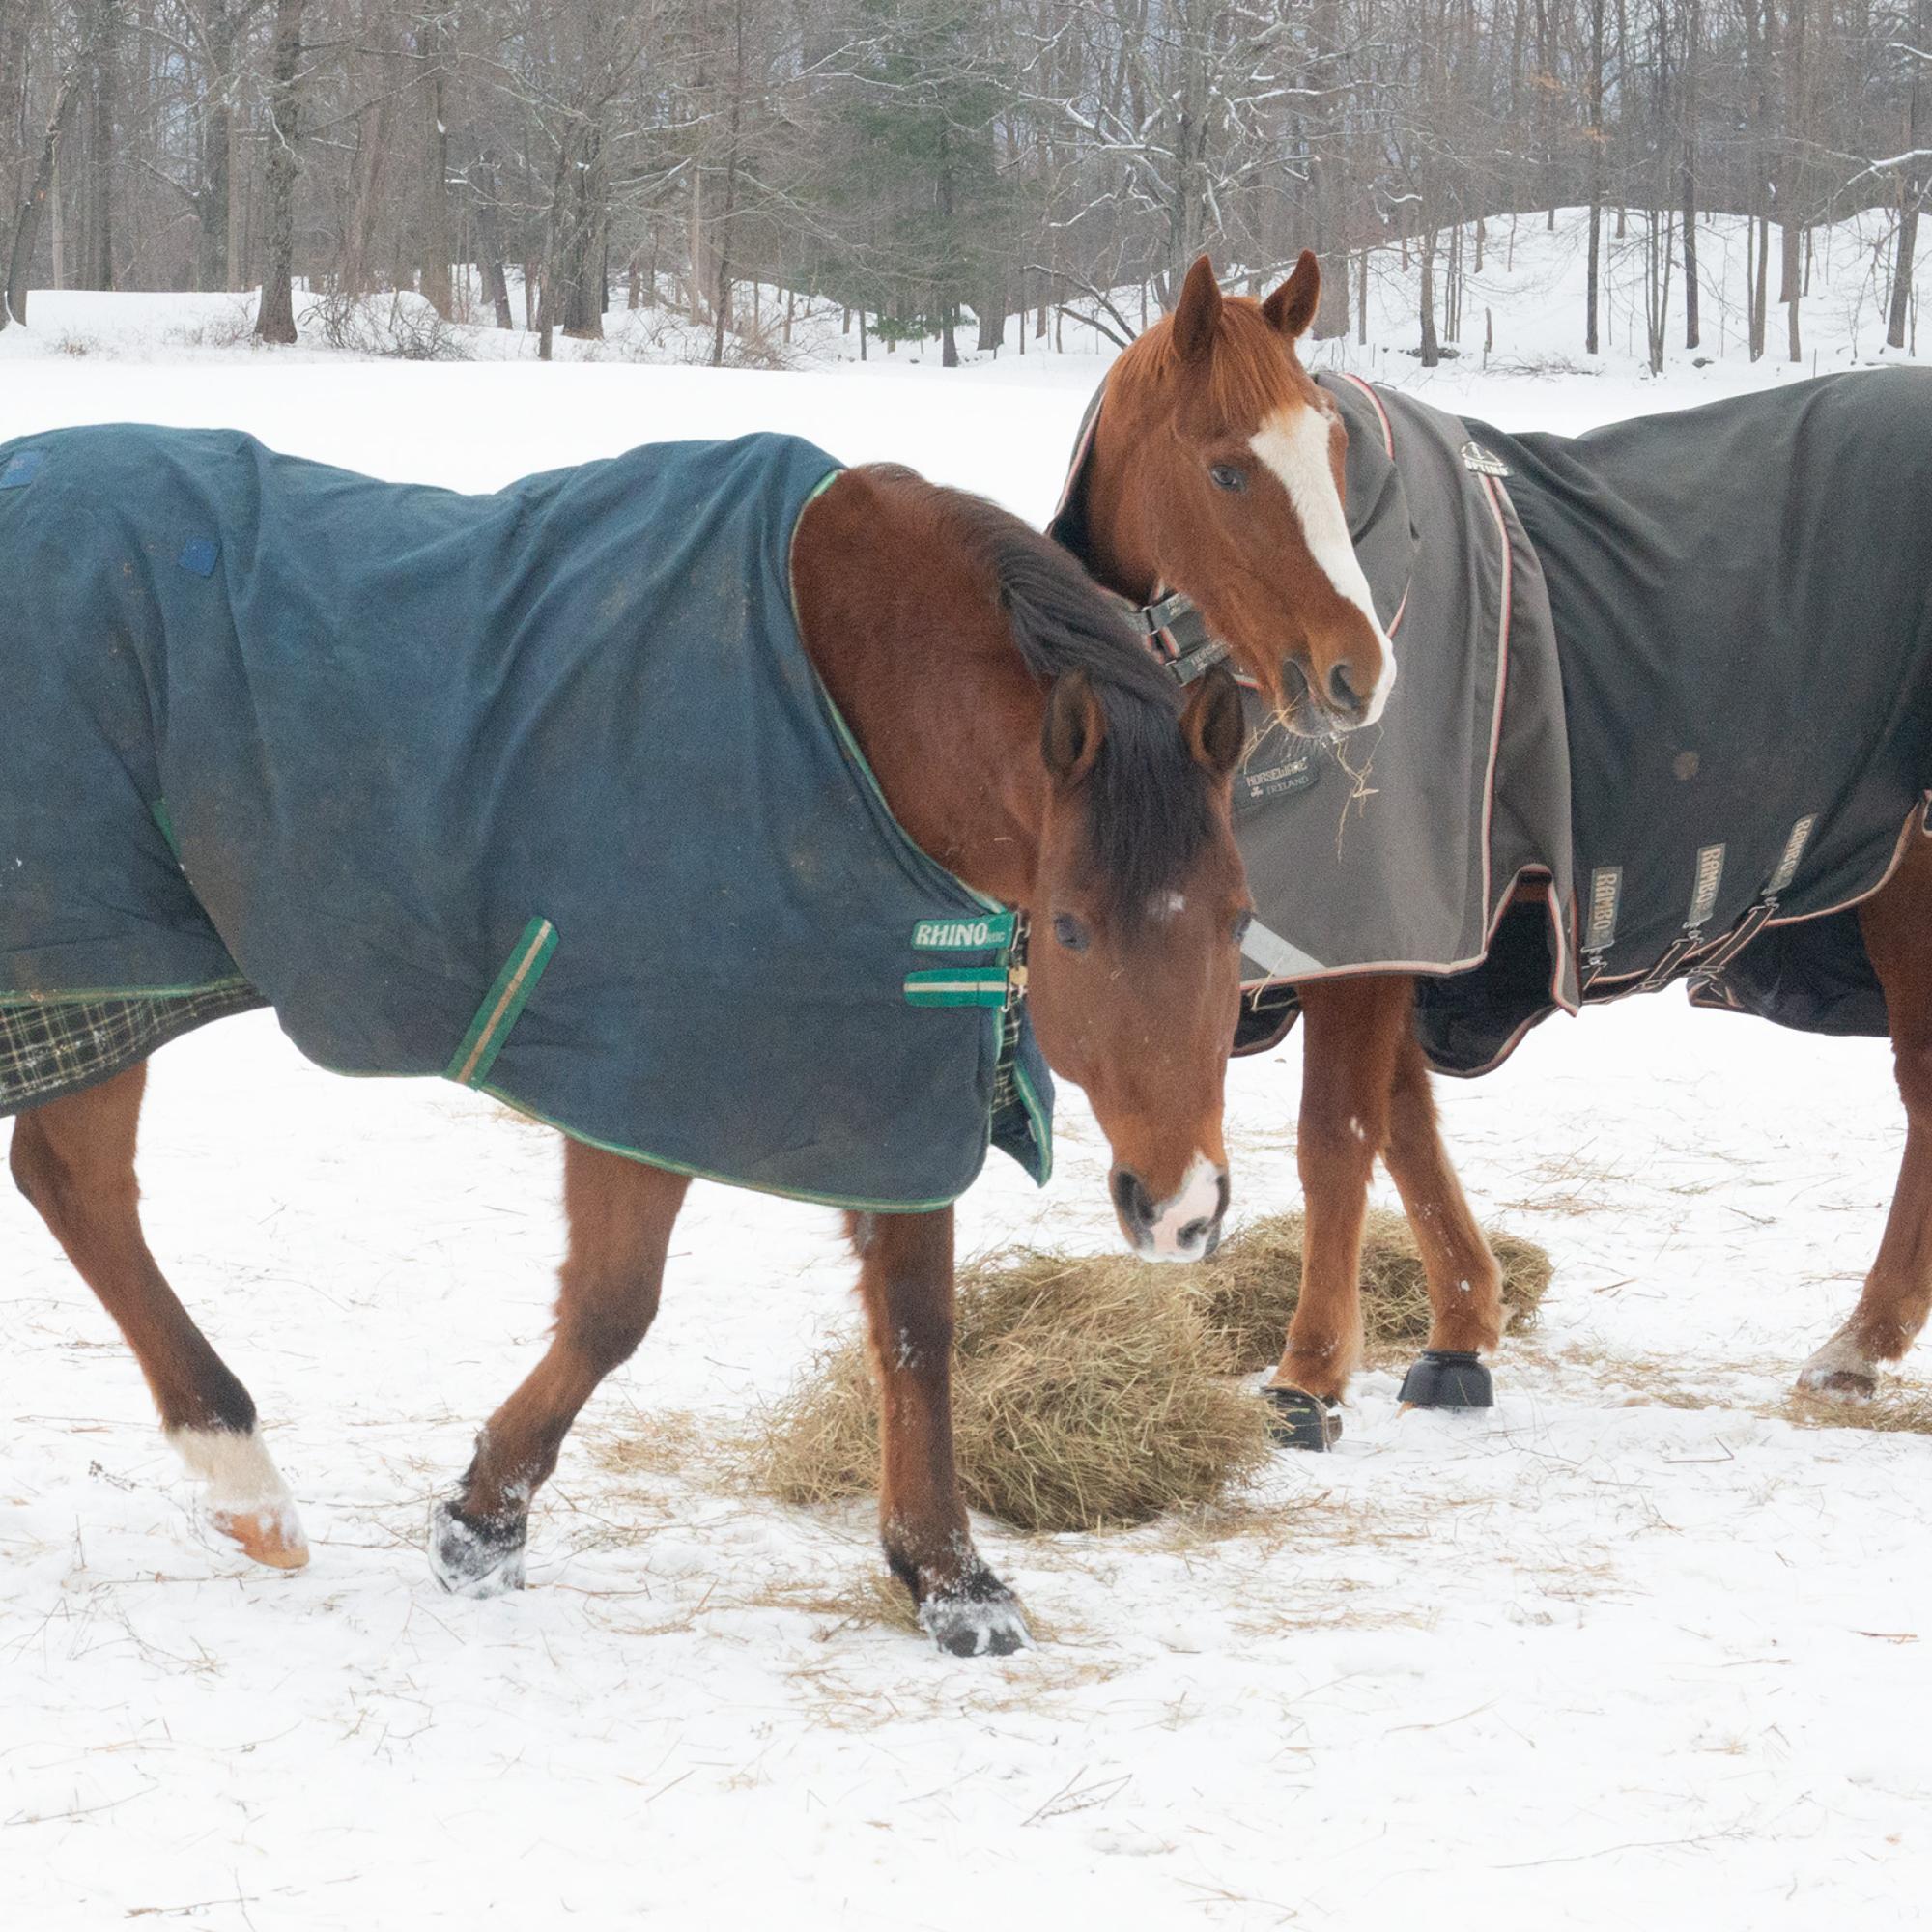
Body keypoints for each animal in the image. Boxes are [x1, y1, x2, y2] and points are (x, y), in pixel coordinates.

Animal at [1059, 253, 1932, 1437]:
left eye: (1331, 451)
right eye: (1226, 471)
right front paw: (1460, 1332)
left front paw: (1308, 1377)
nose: (1356, 675)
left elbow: (1338, 1134)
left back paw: (1862, 1337)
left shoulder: (1372, 923)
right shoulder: (1399, 934)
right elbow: (1403, 1122)